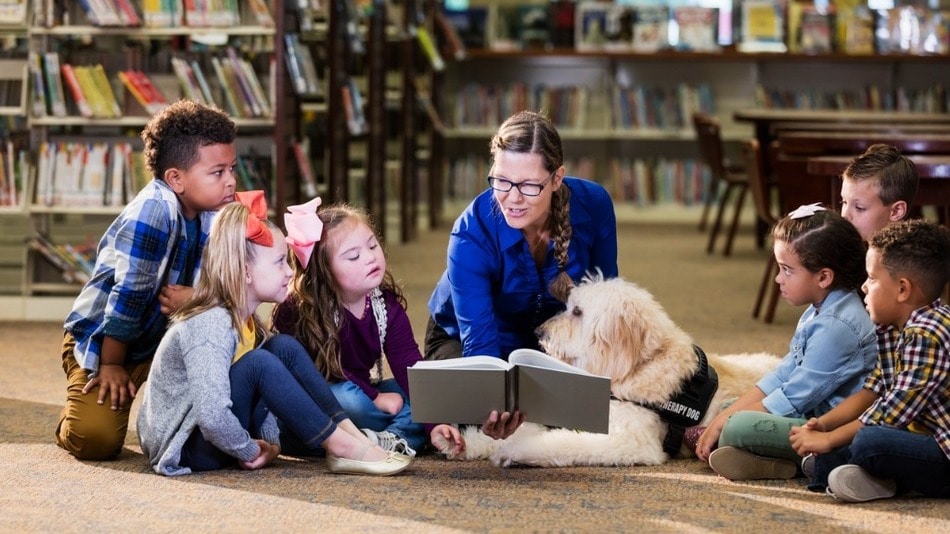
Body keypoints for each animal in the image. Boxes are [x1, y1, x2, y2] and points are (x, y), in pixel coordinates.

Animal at [436, 276, 784, 468]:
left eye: (577, 311)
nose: (539, 332)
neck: (637, 369)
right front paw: (461, 442)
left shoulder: (630, 440)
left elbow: (563, 443)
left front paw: (515, 451)